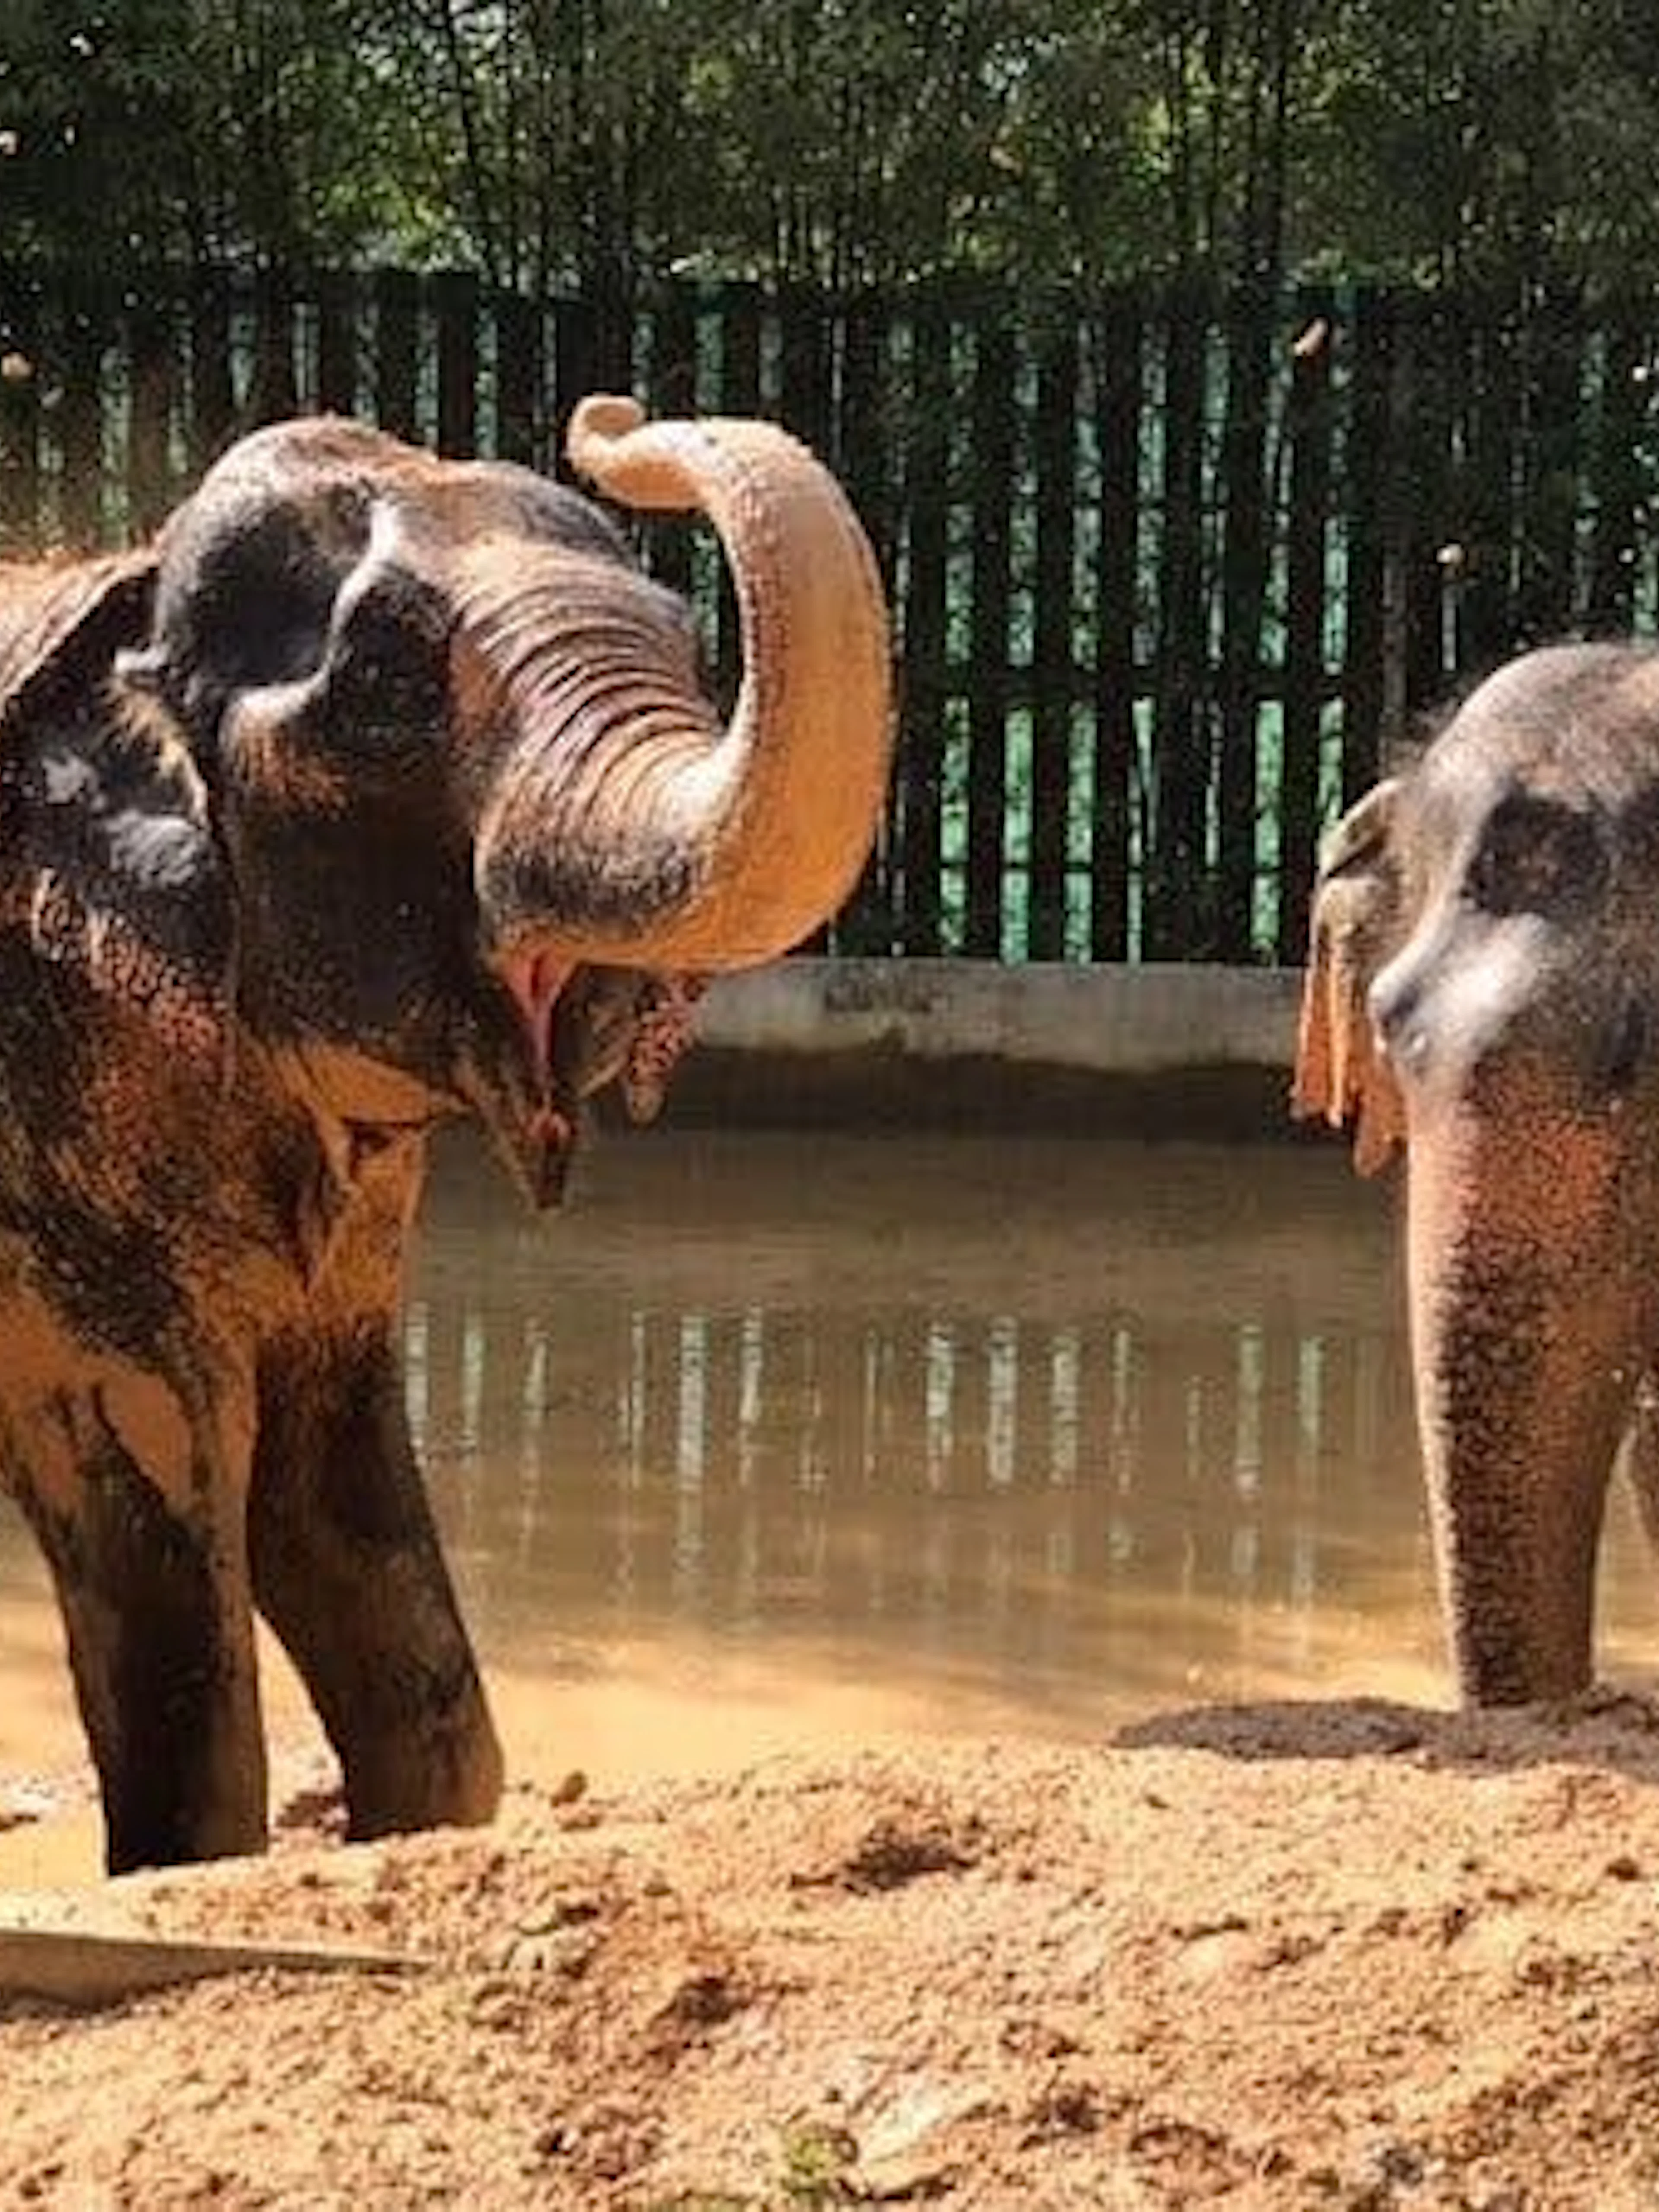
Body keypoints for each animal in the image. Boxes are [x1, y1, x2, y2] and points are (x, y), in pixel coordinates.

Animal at [0, 396, 891, 1871]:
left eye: (684, 633)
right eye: (384, 691)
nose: (611, 419)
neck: (117, 593)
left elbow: (345, 1514)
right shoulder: (59, 1121)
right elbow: (155, 1491)